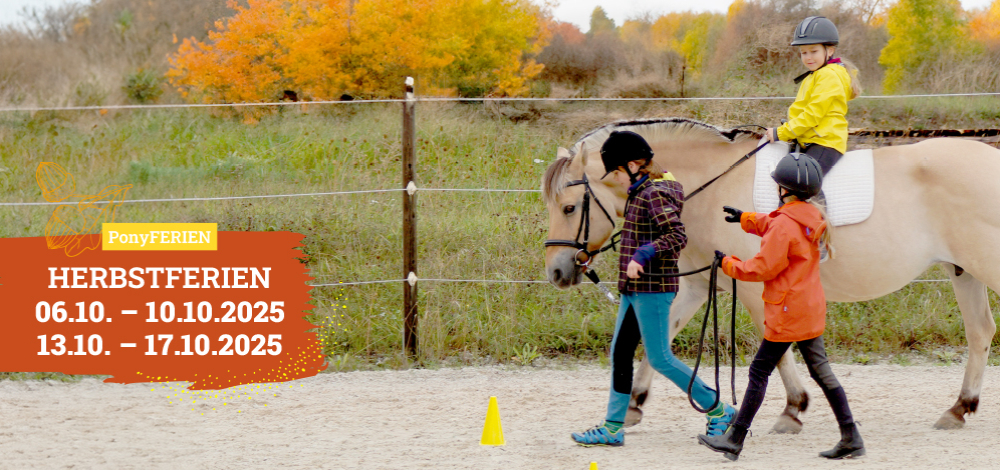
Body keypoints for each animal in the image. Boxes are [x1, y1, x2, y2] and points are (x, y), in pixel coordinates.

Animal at [548, 117, 1000, 434]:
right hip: (963, 271)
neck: (708, 186)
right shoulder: (697, 285)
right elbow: (659, 337)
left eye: (569, 207)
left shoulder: (753, 284)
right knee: (979, 331)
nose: (556, 271)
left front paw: (793, 408)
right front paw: (635, 404)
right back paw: (959, 408)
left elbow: (777, 345)